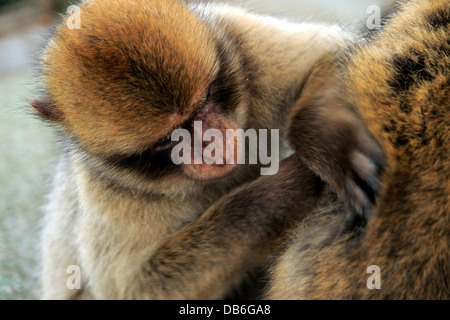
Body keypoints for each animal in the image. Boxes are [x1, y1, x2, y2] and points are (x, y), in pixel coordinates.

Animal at [31, 0, 384, 300]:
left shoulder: (239, 40)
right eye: (167, 139)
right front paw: (291, 186)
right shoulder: (111, 196)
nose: (213, 147)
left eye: (205, 101)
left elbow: (330, 51)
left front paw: (331, 143)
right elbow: (137, 288)